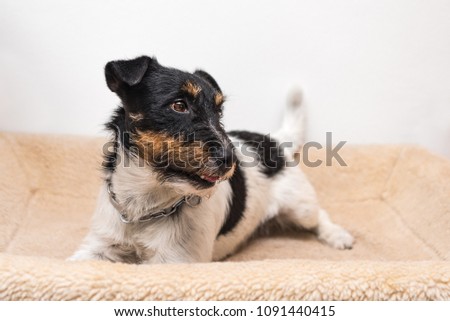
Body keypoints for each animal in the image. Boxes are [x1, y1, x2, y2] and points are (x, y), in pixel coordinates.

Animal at [68, 56, 354, 264]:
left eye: (219, 111)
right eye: (179, 105)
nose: (232, 160)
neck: (146, 206)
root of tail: (274, 140)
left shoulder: (175, 262)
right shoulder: (97, 247)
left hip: (300, 206)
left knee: (319, 215)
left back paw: (336, 234)